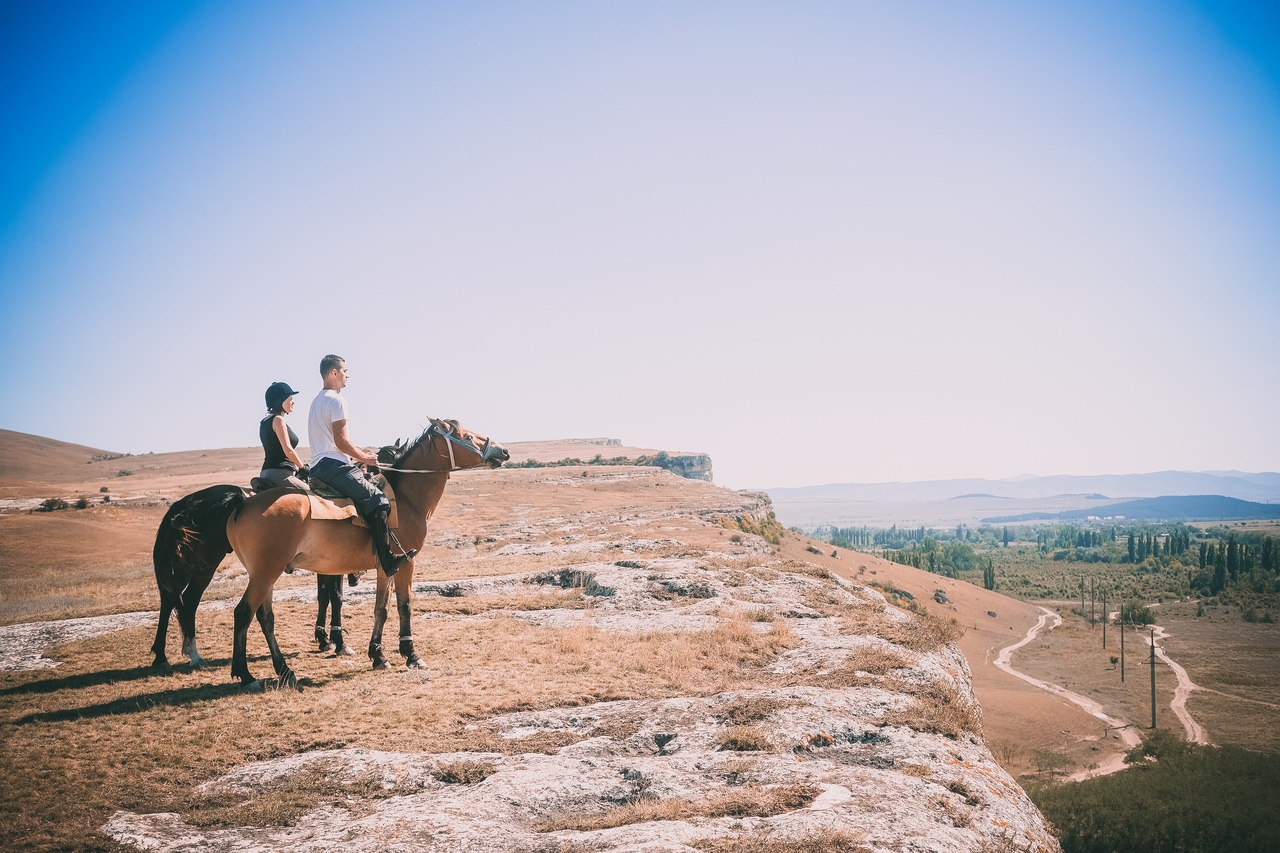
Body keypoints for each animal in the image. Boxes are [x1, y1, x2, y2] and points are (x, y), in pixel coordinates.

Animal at [151, 414, 504, 686]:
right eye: (467, 436)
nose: (502, 450)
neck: (405, 498)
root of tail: (241, 501)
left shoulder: (382, 566)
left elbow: (380, 607)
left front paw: (376, 654)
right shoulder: (404, 563)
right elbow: (402, 605)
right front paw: (409, 654)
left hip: (262, 573)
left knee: (261, 616)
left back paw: (284, 671)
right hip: (254, 571)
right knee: (237, 611)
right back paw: (244, 674)